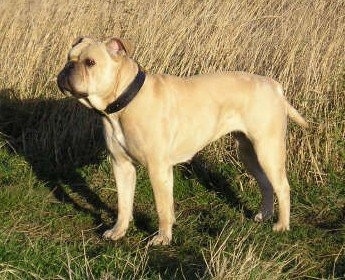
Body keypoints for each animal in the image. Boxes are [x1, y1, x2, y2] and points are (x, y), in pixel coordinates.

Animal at [57, 36, 306, 245]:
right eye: (69, 58)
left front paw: (162, 238)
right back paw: (264, 216)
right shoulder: (122, 166)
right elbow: (124, 203)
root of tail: (275, 86)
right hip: (248, 152)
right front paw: (119, 231)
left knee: (282, 186)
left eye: (90, 62)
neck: (122, 104)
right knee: (266, 183)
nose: (67, 68)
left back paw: (282, 225)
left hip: (267, 149)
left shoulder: (157, 169)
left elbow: (161, 207)